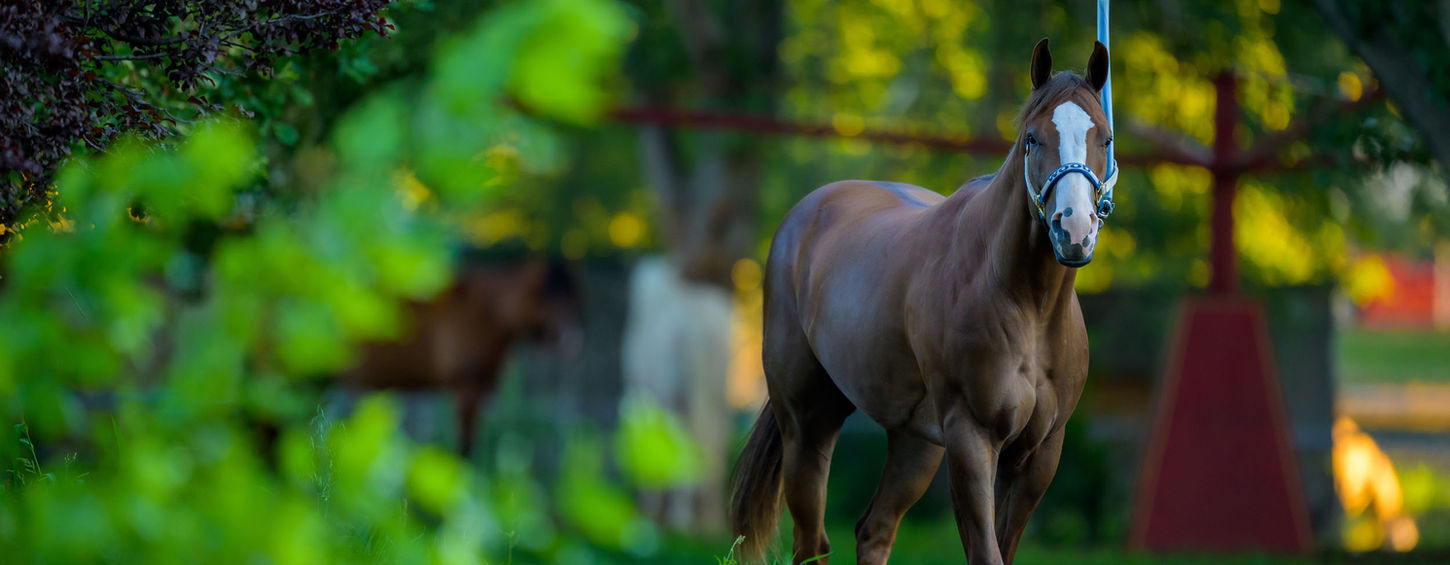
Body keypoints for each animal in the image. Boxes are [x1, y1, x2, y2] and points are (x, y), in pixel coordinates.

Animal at [341, 255, 581, 457]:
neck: (484, 312)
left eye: (573, 299)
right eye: (548, 297)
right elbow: (464, 450)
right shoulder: (467, 389)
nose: (571, 341)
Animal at [729, 39, 1115, 565]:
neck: (1025, 306)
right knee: (811, 542)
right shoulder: (971, 439)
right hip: (807, 423)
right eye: (1032, 138)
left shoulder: (1039, 455)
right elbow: (986, 552)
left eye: (1106, 139)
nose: (1073, 229)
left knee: (874, 530)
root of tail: (805, 215)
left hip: (915, 442)